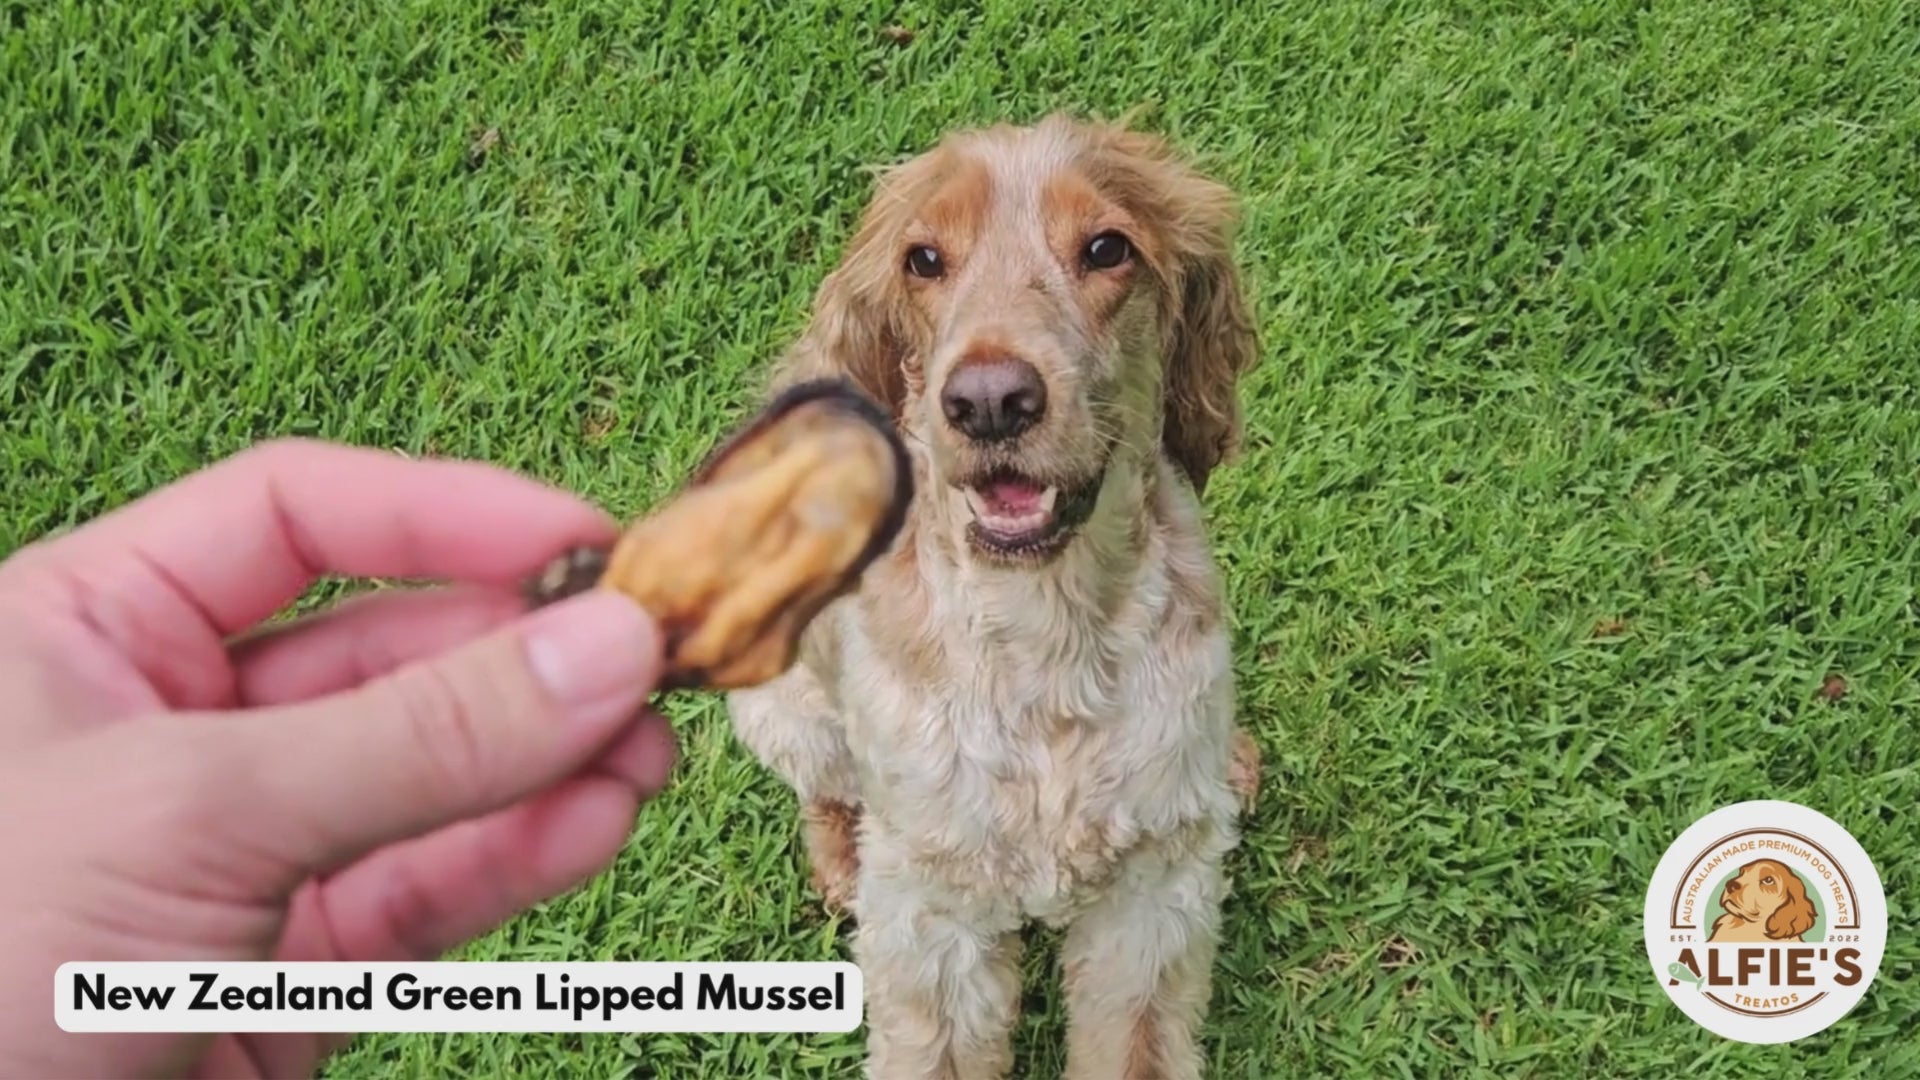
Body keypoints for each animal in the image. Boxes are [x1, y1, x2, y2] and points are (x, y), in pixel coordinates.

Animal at [721, 113, 1259, 1068]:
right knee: (828, 792)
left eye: (1108, 247)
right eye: (924, 259)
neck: (1046, 632)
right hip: (784, 711)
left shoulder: (1153, 900)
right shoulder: (934, 917)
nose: (990, 401)